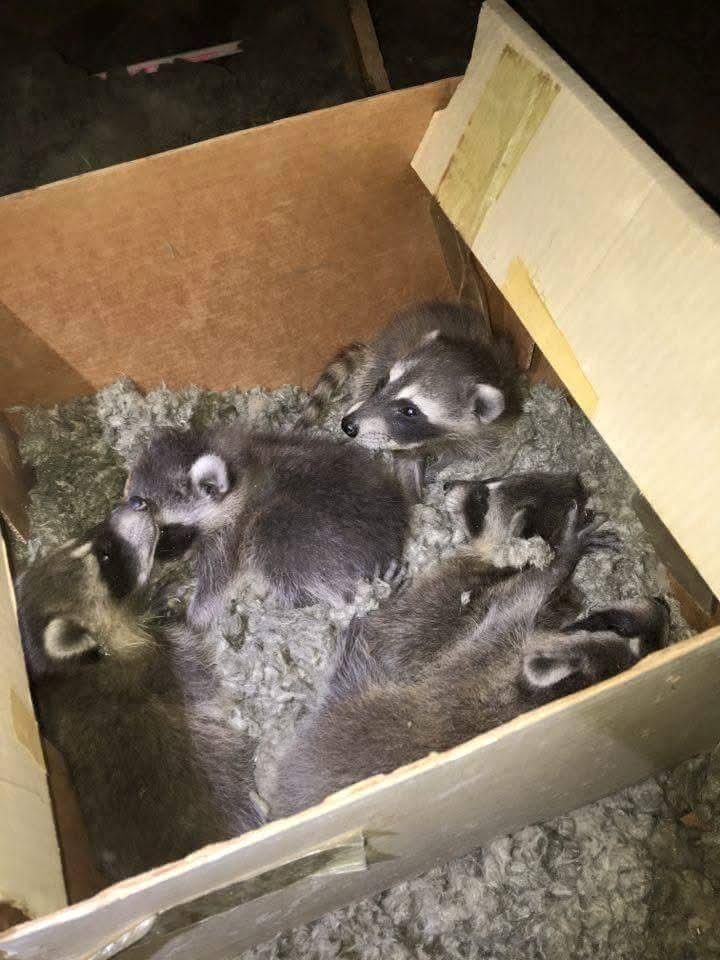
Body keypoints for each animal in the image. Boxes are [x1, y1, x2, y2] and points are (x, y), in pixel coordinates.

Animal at [17, 501, 263, 882]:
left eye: (89, 537)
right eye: (104, 556)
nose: (138, 502)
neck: (73, 667)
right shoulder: (165, 663)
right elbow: (200, 668)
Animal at [124, 424, 410, 629]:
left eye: (163, 529)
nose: (155, 561)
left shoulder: (231, 537)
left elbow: (215, 588)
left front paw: (192, 616)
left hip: (293, 536)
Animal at [271, 501, 670, 817]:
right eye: (619, 626)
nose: (664, 605)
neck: (544, 696)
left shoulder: (497, 644)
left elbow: (531, 588)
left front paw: (564, 555)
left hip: (355, 693)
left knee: (352, 659)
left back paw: (365, 614)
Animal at [297, 301, 523, 498]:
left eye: (410, 411)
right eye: (382, 383)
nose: (347, 425)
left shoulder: (491, 430)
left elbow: (470, 453)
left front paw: (443, 464)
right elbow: (405, 462)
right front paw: (413, 501)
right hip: (378, 359)